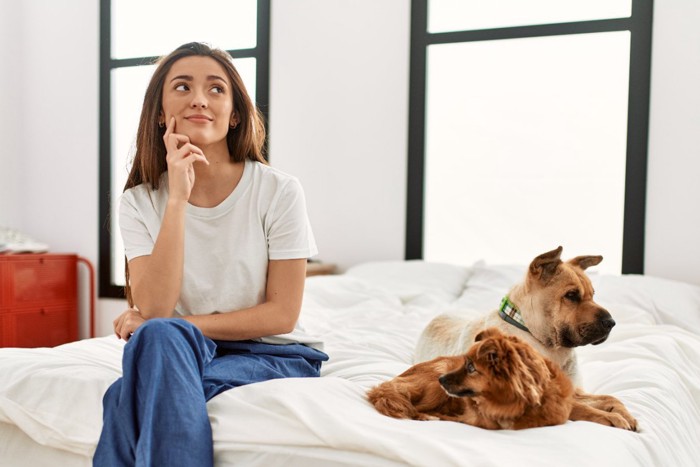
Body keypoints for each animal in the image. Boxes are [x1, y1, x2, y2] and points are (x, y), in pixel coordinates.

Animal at [370, 328, 572, 430]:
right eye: (464, 362)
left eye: (470, 367)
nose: (441, 380)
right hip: (436, 380)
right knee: (413, 407)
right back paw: (426, 416)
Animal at [416, 247, 640, 434]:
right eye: (571, 295)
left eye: (593, 295)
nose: (611, 323)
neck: (546, 344)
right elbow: (586, 409)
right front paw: (613, 418)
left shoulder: (574, 390)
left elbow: (609, 397)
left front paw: (625, 414)